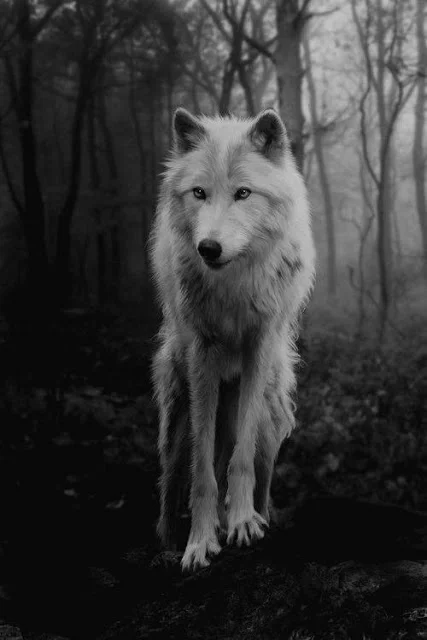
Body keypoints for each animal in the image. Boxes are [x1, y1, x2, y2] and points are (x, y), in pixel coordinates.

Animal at [150, 107, 315, 571]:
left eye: (243, 193)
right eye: (199, 193)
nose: (208, 247)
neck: (234, 282)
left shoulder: (257, 347)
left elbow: (239, 461)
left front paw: (241, 523)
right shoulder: (201, 356)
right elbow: (202, 471)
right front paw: (199, 542)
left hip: (271, 417)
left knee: (257, 470)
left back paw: (256, 517)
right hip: (176, 410)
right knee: (172, 477)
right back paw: (168, 541)